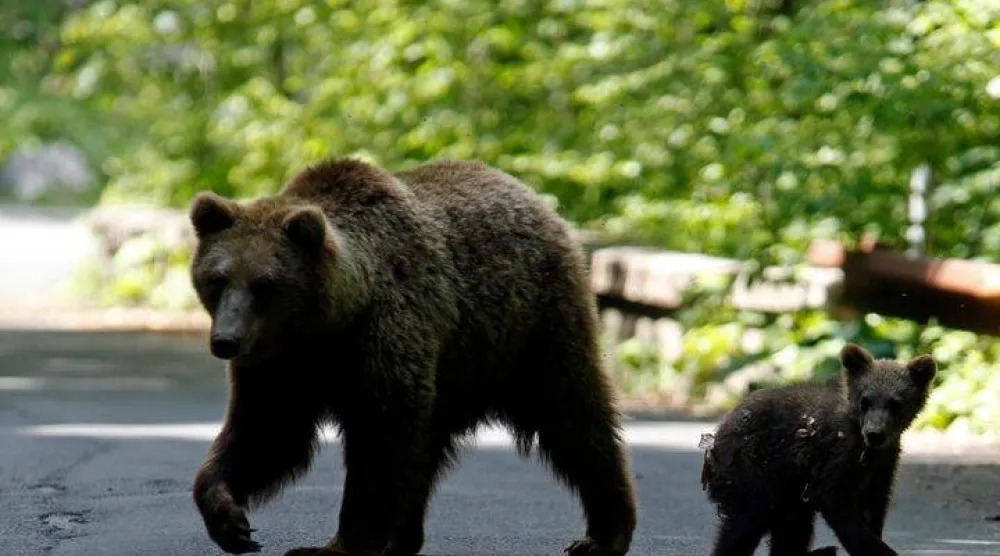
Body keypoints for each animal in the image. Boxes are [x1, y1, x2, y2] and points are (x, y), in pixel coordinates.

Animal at [187, 157, 638, 556]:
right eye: (217, 279)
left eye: (264, 284)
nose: (226, 341)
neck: (330, 325)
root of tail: (535, 198)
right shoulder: (280, 365)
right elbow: (268, 432)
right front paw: (230, 520)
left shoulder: (382, 338)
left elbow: (380, 441)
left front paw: (336, 545)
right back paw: (402, 538)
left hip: (531, 328)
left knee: (573, 418)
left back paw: (604, 535)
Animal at [700, 343, 937, 556]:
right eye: (865, 401)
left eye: (895, 403)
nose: (875, 433)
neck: (865, 449)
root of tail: (718, 433)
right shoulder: (836, 454)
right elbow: (837, 502)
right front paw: (878, 549)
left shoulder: (882, 466)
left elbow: (874, 507)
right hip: (752, 469)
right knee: (744, 525)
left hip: (787, 489)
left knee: (792, 527)